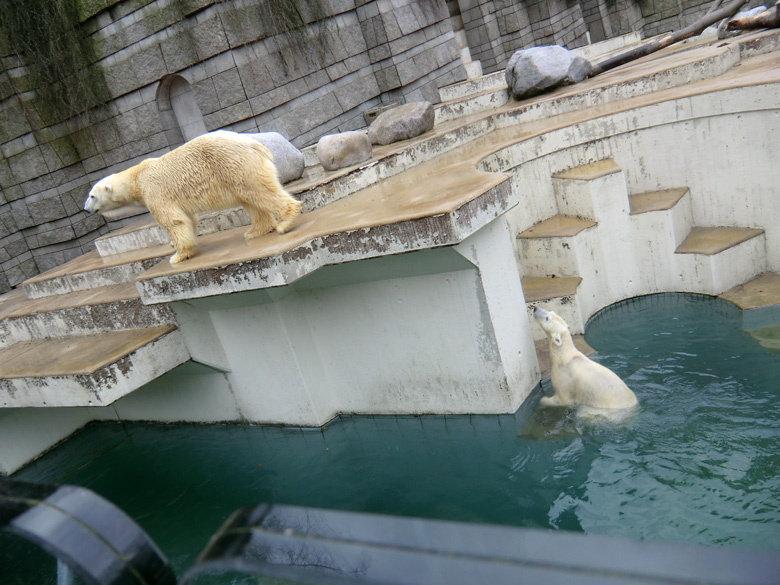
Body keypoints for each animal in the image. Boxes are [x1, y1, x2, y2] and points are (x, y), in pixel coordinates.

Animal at [85, 131, 302, 264]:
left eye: (92, 196)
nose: (86, 209)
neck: (136, 177)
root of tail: (255, 144)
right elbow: (188, 218)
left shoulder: (154, 191)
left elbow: (173, 221)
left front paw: (177, 255)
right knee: (248, 198)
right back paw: (255, 231)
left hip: (234, 163)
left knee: (258, 191)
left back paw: (285, 222)